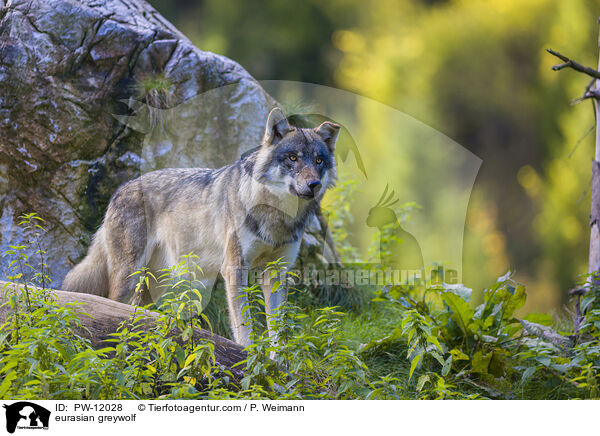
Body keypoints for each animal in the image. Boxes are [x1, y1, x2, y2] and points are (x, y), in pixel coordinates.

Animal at [63, 109, 342, 348]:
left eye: (318, 160)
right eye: (293, 158)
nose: (314, 184)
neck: (277, 217)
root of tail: (119, 190)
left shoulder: (276, 272)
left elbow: (278, 330)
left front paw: (280, 365)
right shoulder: (234, 268)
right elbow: (245, 324)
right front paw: (250, 359)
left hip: (161, 284)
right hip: (130, 277)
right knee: (114, 308)